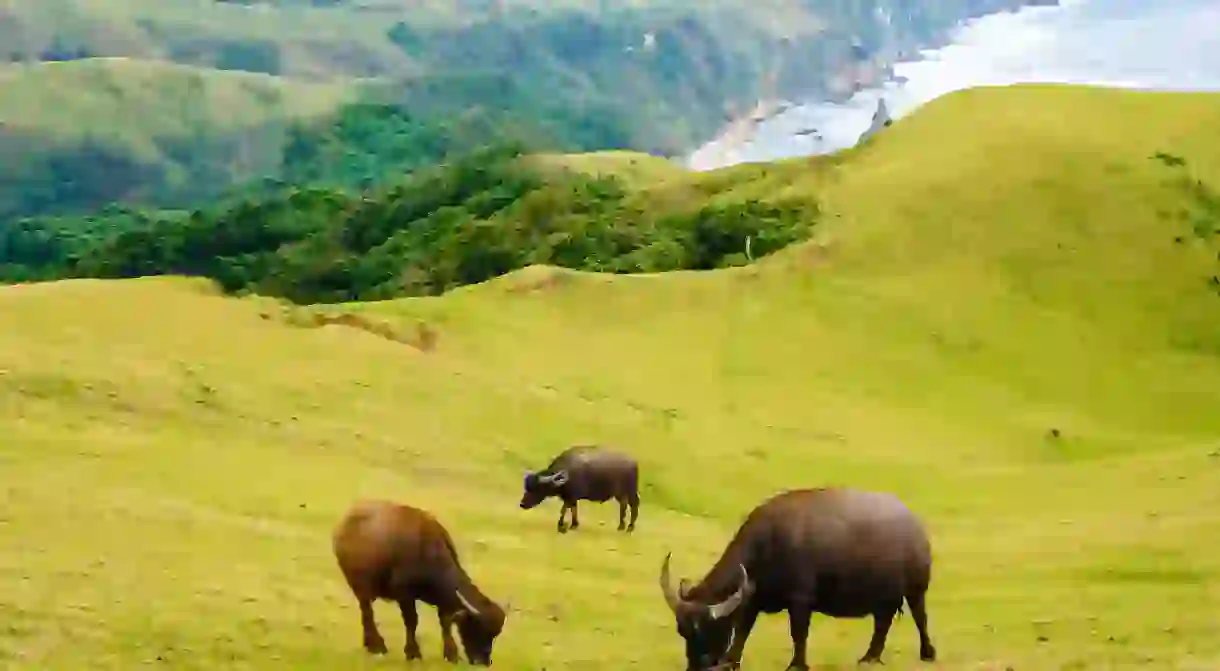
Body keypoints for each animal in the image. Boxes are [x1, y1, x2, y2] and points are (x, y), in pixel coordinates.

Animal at [329, 500, 509, 668]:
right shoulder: (404, 595)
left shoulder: (443, 600)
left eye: (494, 634)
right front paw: (413, 653)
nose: (484, 661)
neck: (427, 552)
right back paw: (377, 646)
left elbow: (445, 622)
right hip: (361, 587)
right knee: (367, 613)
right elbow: (412, 621)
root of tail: (344, 524)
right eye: (479, 628)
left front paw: (451, 654)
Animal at [658, 490, 932, 671]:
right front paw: (732, 662)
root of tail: (915, 525)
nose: (696, 667)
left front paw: (797, 665)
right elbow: (743, 632)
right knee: (882, 623)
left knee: (920, 618)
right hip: (884, 599)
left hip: (916, 590)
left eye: (708, 628)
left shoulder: (801, 601)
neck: (769, 543)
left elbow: (798, 634)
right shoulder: (752, 599)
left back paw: (927, 653)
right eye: (682, 631)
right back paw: (870, 657)